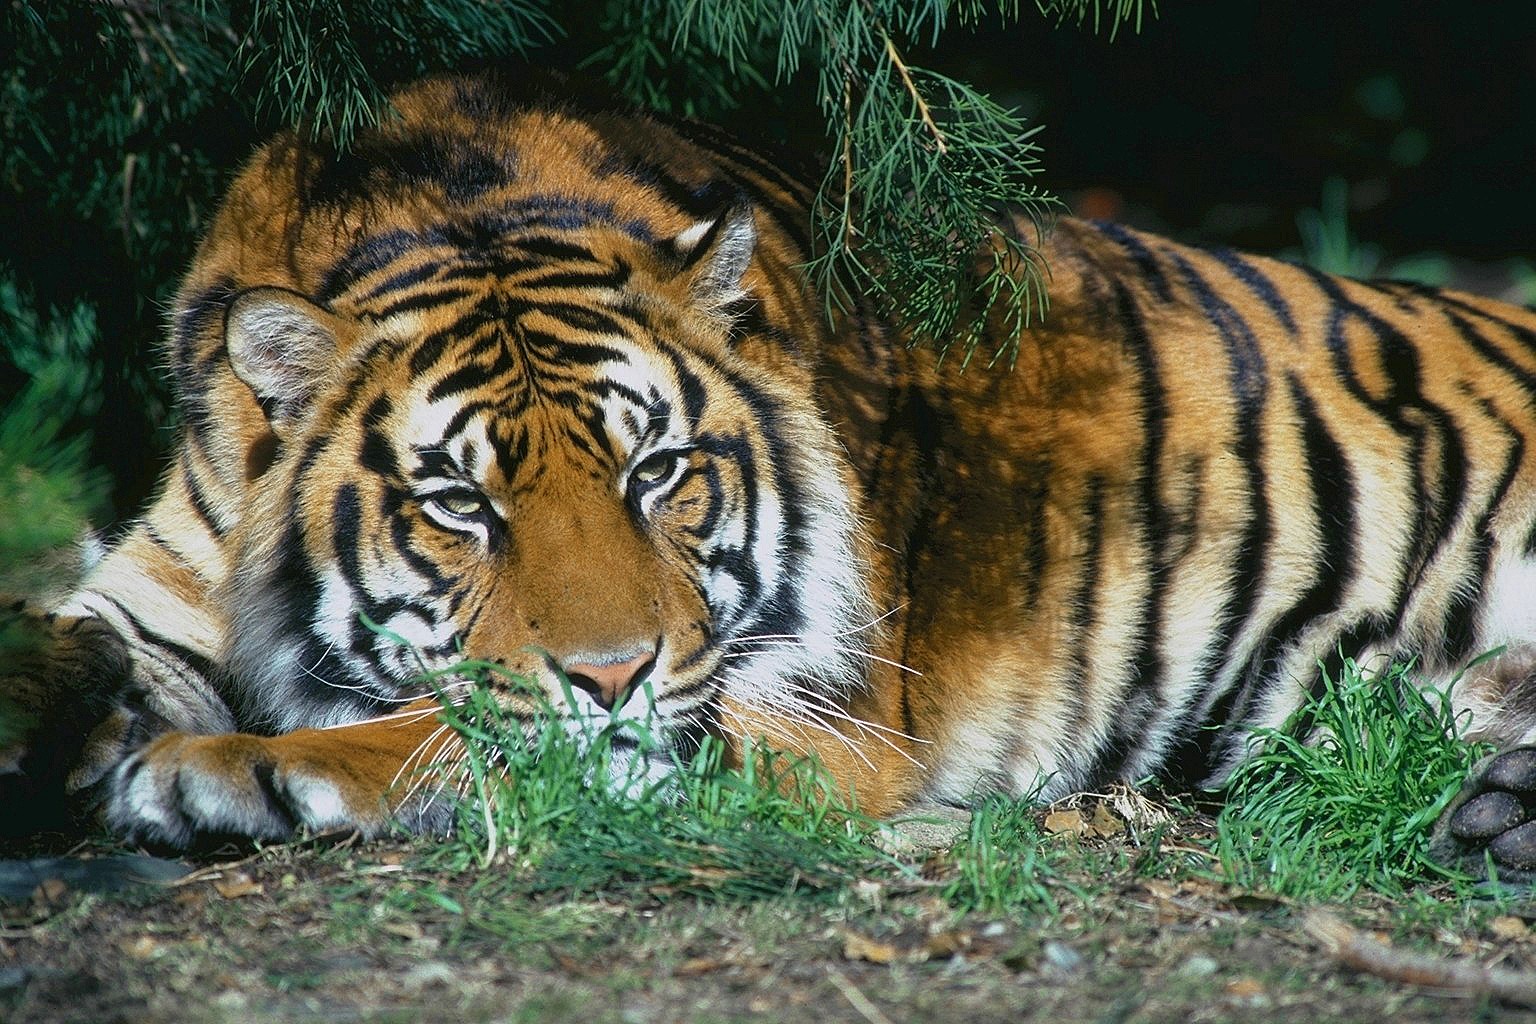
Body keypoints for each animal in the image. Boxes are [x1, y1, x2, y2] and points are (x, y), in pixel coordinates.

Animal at [4, 70, 1536, 880]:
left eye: (658, 472)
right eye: (461, 506)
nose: (613, 673)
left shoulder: (811, 719)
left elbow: (456, 730)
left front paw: (207, 772)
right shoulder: (150, 593)